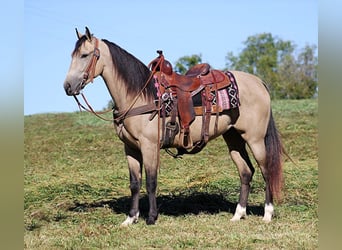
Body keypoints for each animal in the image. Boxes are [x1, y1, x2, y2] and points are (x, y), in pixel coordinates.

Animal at [62, 26, 284, 226]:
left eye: (84, 55)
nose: (67, 87)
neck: (138, 95)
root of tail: (259, 82)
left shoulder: (149, 146)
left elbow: (151, 181)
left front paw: (151, 218)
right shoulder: (130, 148)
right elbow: (135, 183)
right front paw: (130, 218)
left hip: (255, 138)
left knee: (266, 170)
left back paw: (267, 214)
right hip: (234, 137)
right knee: (246, 171)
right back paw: (238, 214)